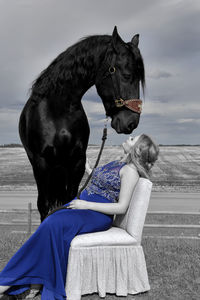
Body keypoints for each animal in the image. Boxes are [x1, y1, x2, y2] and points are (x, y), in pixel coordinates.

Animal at [19, 27, 145, 221]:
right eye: (126, 75)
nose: (131, 122)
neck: (58, 110)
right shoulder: (42, 164)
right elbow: (44, 205)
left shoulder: (77, 161)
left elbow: (69, 199)